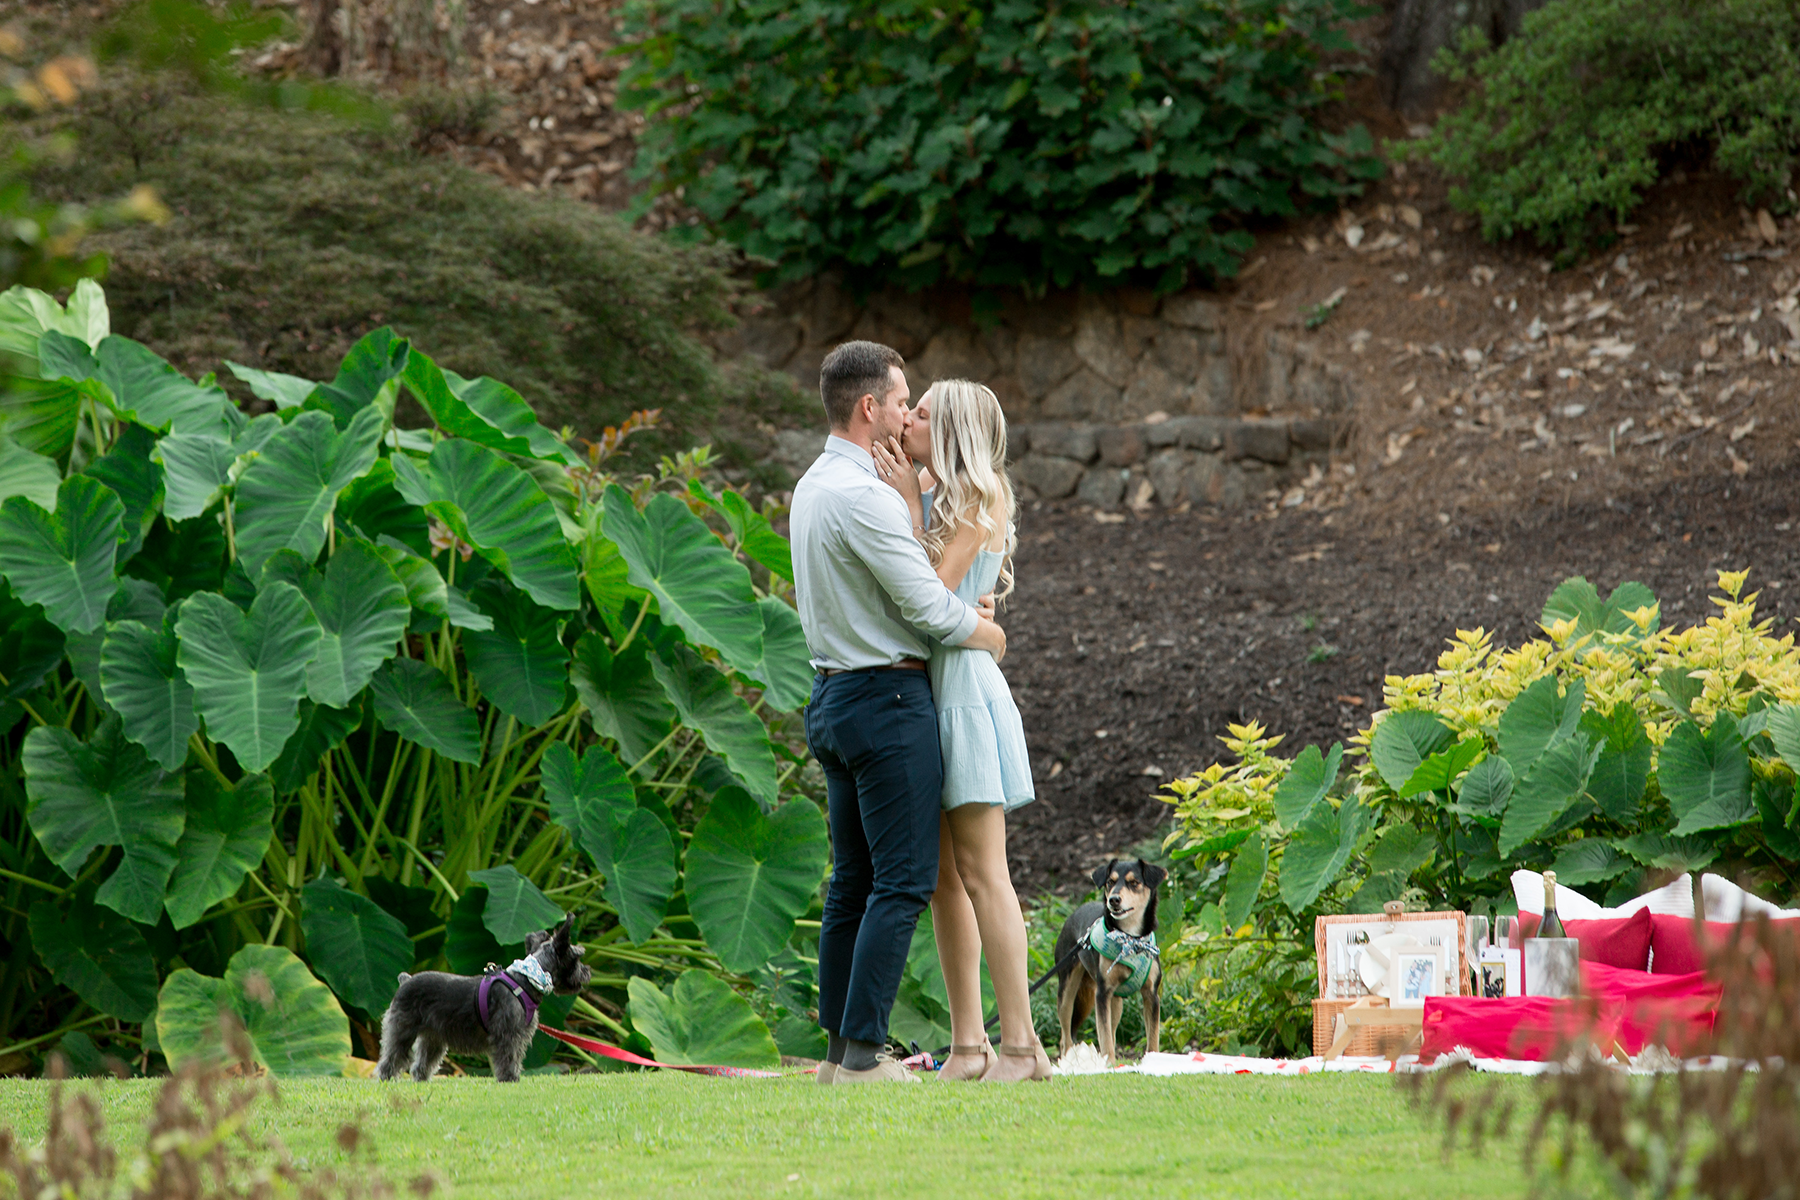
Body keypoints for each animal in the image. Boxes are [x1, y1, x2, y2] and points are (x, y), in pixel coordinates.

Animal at [378, 913, 590, 1086]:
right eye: (577, 957)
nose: (587, 971)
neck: (528, 978)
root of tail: (405, 980)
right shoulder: (508, 1034)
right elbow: (509, 1057)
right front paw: (509, 1078)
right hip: (403, 1030)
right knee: (392, 1056)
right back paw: (386, 1077)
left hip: (433, 1037)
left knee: (421, 1063)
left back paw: (421, 1080)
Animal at [1051, 859, 1166, 1065]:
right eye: (1110, 882)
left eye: (1134, 883)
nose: (1113, 900)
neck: (1129, 939)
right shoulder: (1102, 993)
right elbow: (1103, 1035)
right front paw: (1109, 1064)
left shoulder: (1151, 995)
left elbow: (1152, 1036)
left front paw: (1153, 1061)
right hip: (1067, 988)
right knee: (1065, 1036)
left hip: (1116, 1002)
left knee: (1112, 1030)